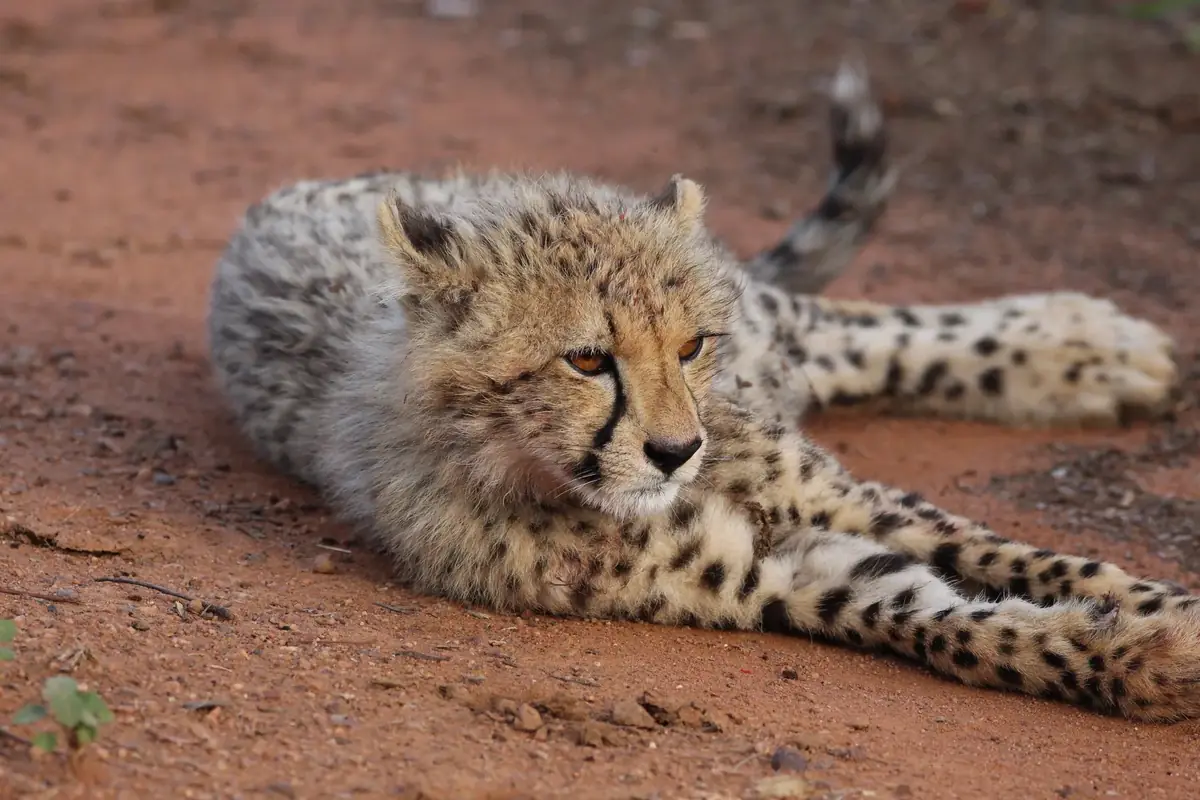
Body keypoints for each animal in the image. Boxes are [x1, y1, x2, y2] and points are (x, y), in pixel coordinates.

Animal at [206, 62, 1199, 722]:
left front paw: (1161, 612)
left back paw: (1091, 345)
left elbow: (1021, 556)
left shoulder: (829, 494)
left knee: (847, 323)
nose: (678, 451)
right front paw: (1141, 657)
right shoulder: (781, 576)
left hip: (767, 323)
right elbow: (950, 618)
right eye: (587, 361)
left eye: (689, 348)